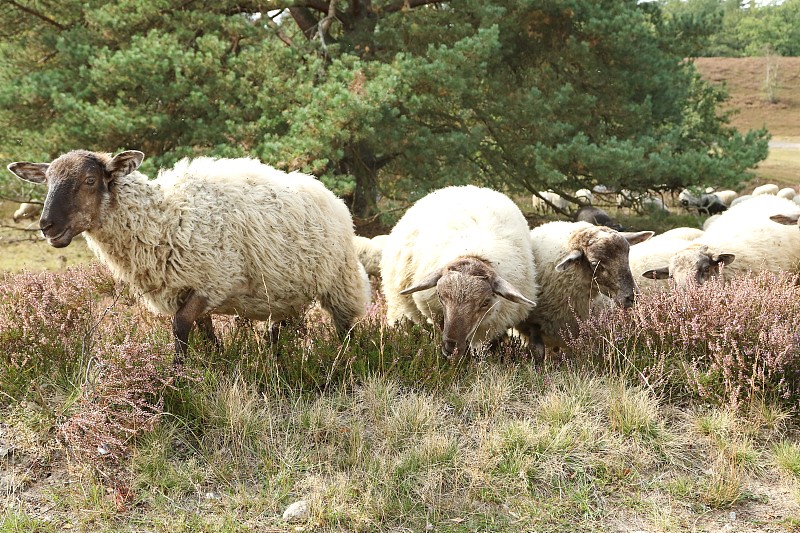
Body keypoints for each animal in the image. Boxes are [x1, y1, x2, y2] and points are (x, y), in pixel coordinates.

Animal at [9, 150, 368, 356]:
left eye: (89, 180)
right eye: (48, 181)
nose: (47, 226)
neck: (164, 220)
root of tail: (324, 190)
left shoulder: (215, 281)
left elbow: (180, 326)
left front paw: (178, 376)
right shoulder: (187, 288)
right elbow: (204, 331)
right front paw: (215, 361)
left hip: (340, 282)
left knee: (345, 327)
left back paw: (348, 359)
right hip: (285, 292)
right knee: (279, 327)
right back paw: (274, 355)